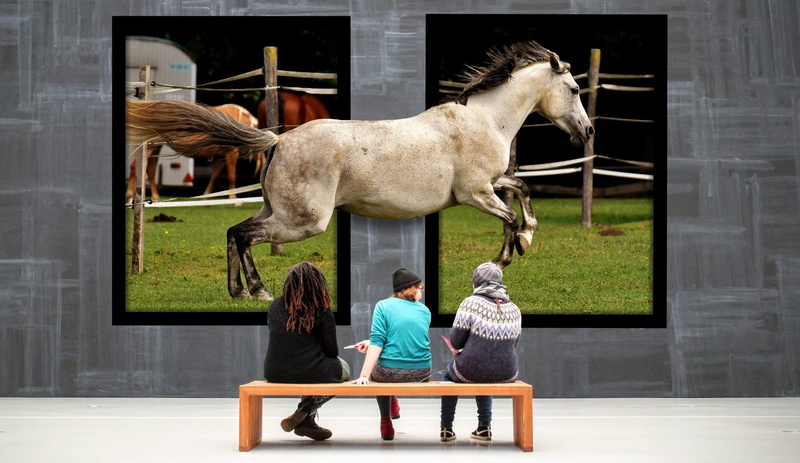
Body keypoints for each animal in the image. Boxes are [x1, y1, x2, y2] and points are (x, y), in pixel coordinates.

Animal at [125, 103, 262, 206]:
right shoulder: (230, 155)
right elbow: (231, 177)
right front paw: (235, 201)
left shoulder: (221, 158)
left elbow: (214, 177)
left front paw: (206, 199)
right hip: (149, 148)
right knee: (134, 168)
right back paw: (131, 197)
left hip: (155, 148)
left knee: (150, 170)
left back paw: (156, 198)